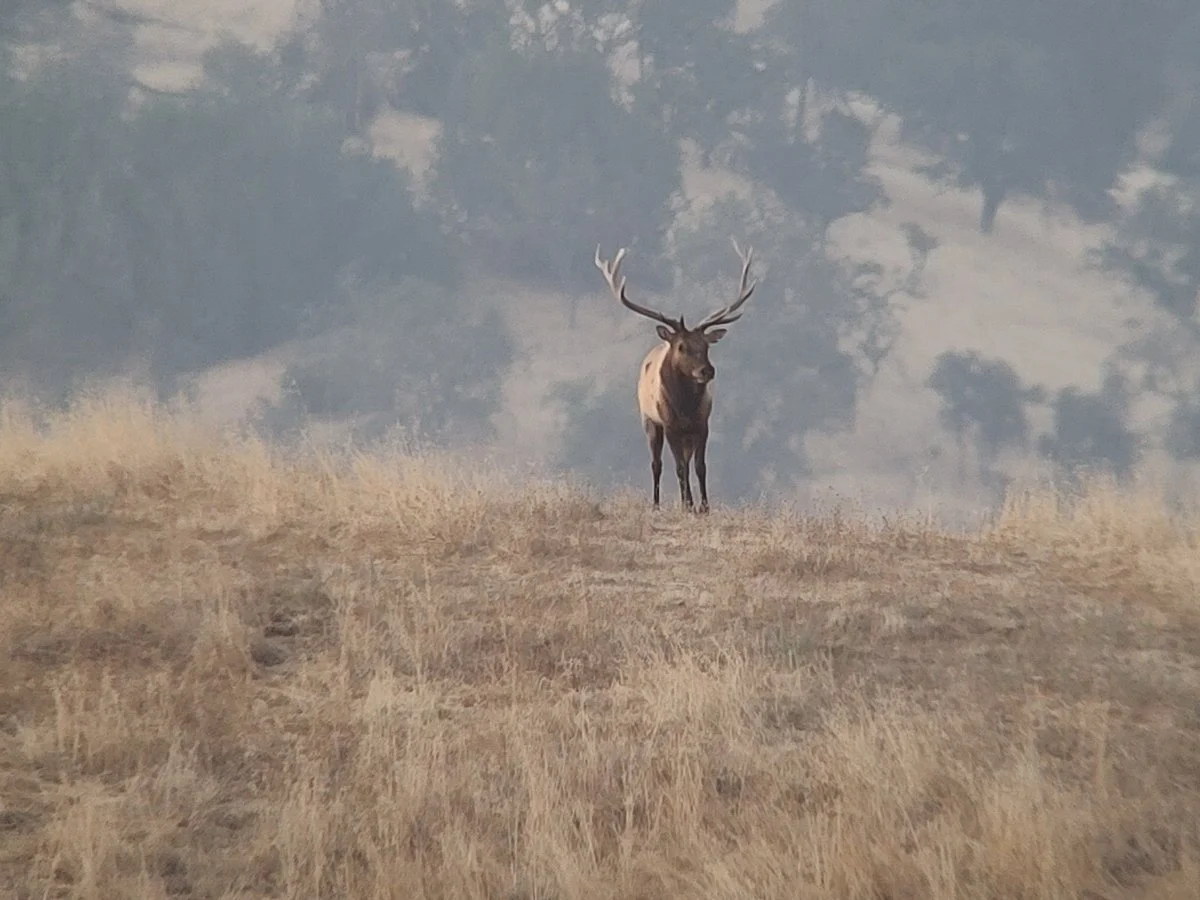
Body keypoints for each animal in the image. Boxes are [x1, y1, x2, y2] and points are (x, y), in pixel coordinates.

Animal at [594, 239, 756, 514]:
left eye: (706, 346)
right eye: (681, 346)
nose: (707, 371)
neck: (685, 406)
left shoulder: (702, 424)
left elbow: (700, 467)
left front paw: (704, 507)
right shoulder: (669, 424)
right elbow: (678, 467)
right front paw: (688, 505)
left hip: (685, 434)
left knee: (686, 463)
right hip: (649, 421)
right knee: (657, 464)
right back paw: (656, 504)